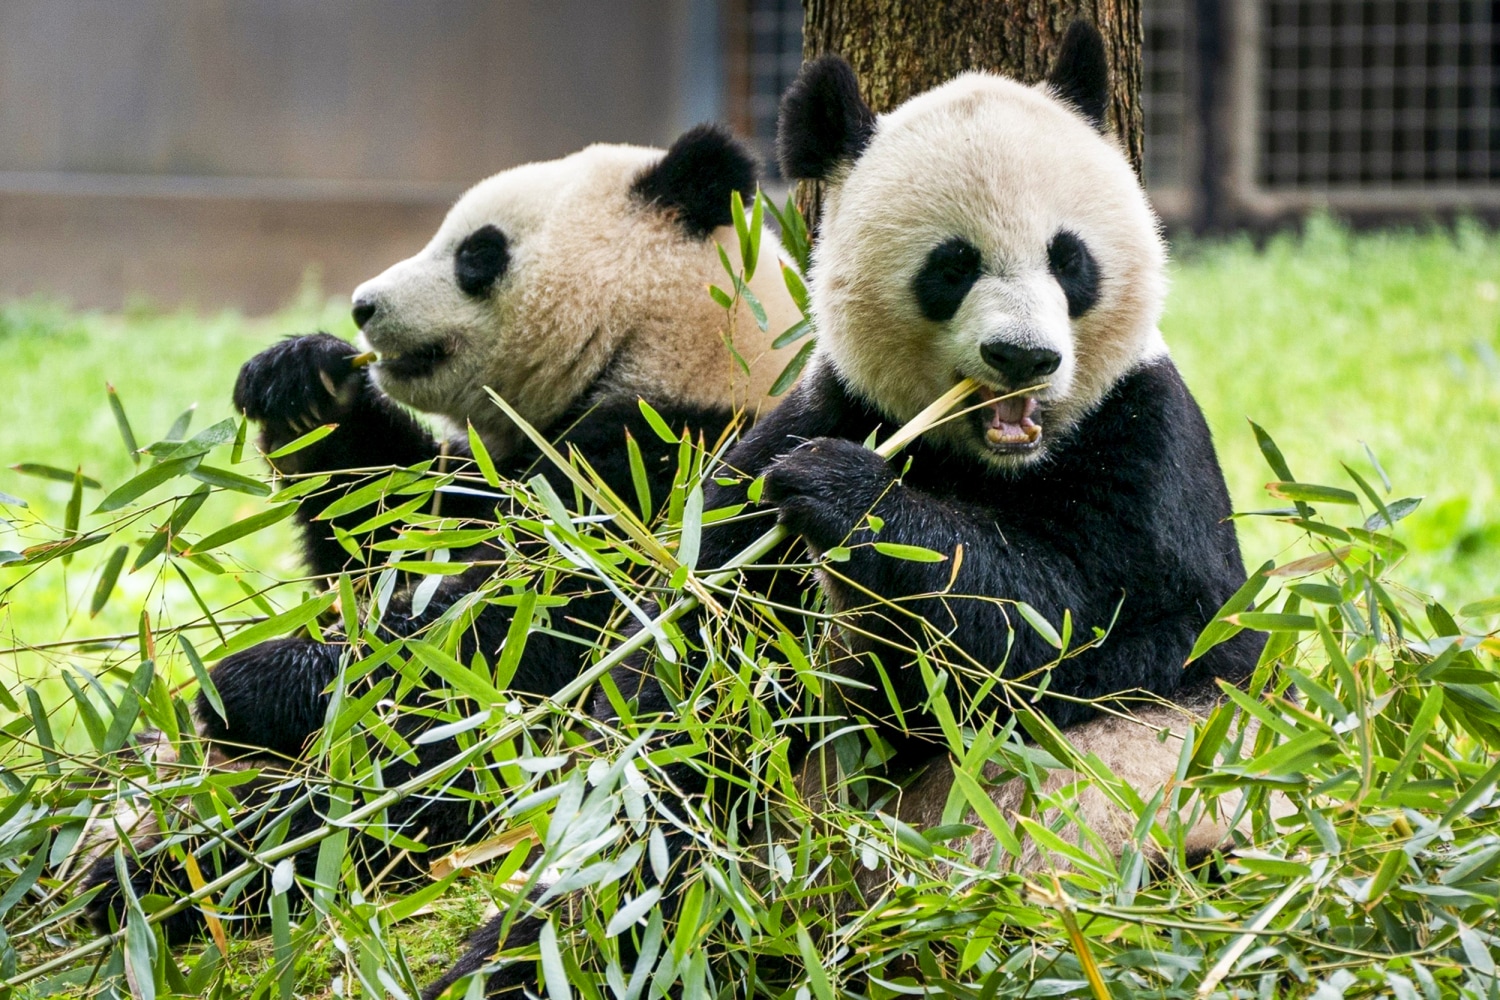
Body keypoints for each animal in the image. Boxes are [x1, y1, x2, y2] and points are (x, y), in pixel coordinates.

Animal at [79, 124, 801, 942]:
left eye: (476, 253)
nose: (362, 306)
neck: (672, 346)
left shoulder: (670, 472)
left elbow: (515, 638)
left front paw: (247, 683)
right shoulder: (498, 468)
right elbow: (383, 536)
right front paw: (302, 383)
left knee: (384, 801)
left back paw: (164, 877)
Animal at [425, 21, 1263, 998]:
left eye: (1071, 259)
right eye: (953, 266)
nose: (1023, 358)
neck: (989, 460)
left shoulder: (1148, 448)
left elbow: (1086, 633)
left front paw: (848, 496)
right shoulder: (812, 417)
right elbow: (695, 675)